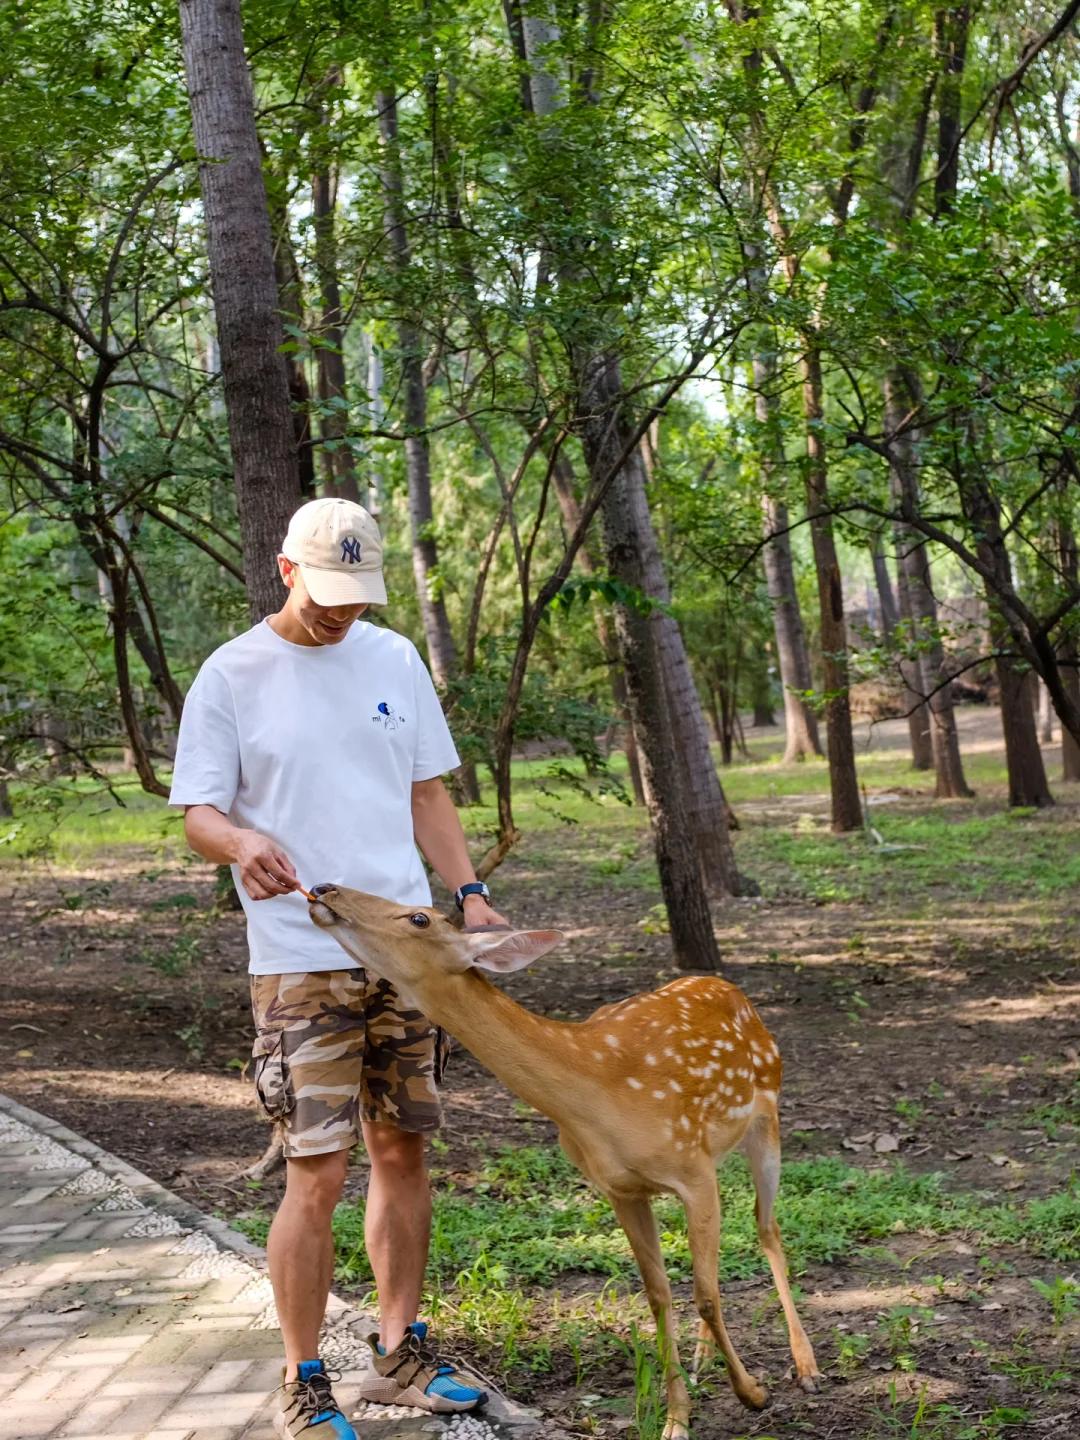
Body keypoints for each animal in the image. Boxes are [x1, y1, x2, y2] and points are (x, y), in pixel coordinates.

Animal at [305, 885, 820, 1438]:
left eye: (419, 917)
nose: (326, 888)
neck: (597, 1094)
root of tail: (732, 990)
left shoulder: (691, 1169)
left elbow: (703, 1294)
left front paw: (753, 1394)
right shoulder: (621, 1188)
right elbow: (659, 1295)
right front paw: (677, 1418)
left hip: (767, 1118)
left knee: (766, 1227)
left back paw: (806, 1366)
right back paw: (707, 1360)